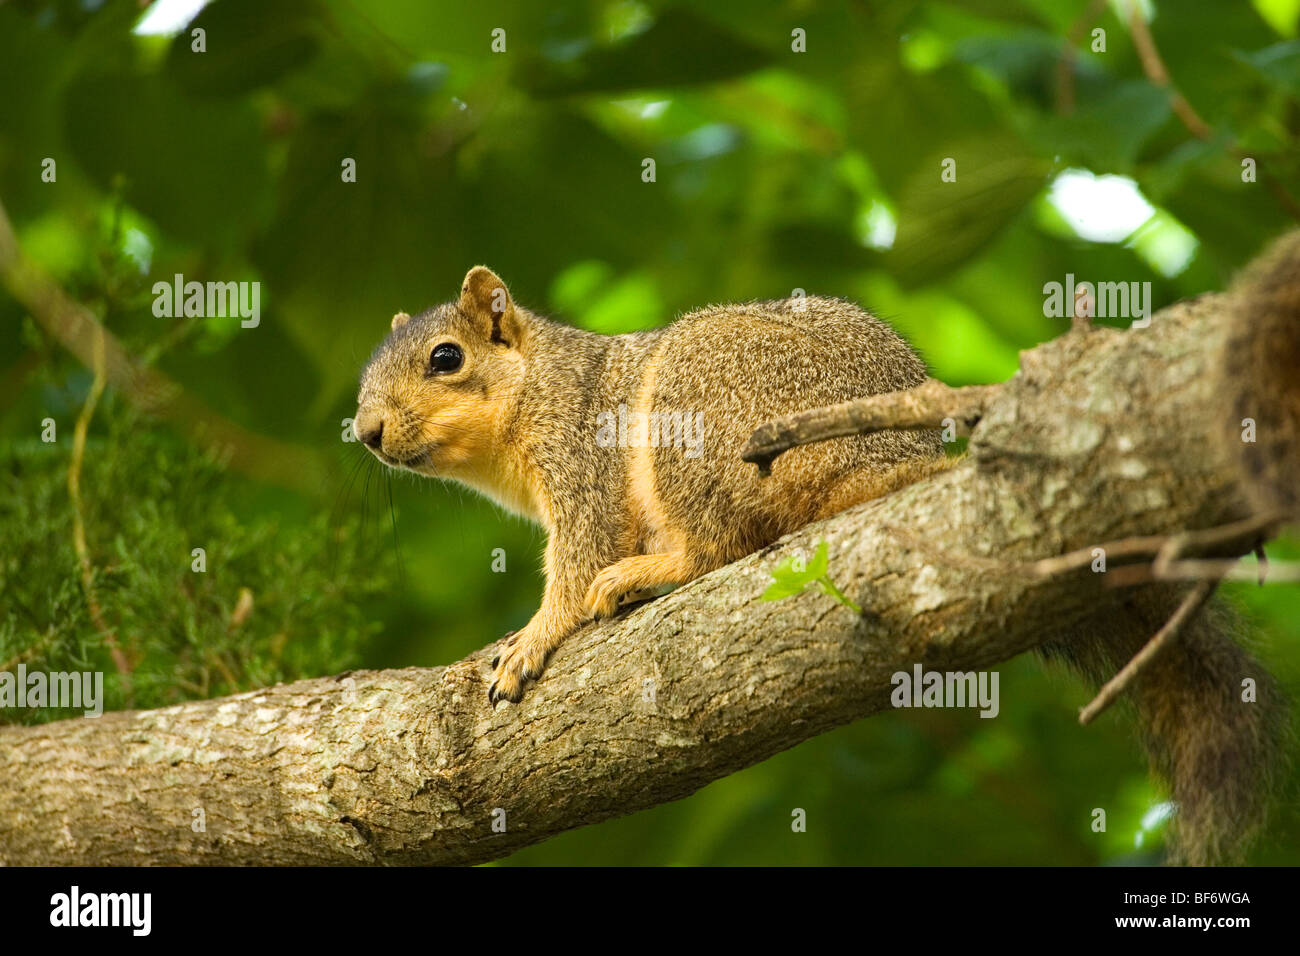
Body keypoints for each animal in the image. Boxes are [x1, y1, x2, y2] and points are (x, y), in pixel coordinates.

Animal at [356, 267, 956, 702]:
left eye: (447, 357)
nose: (366, 431)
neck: (540, 384)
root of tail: (890, 453)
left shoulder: (582, 458)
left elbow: (581, 558)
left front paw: (532, 637)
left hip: (698, 410)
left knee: (717, 548)